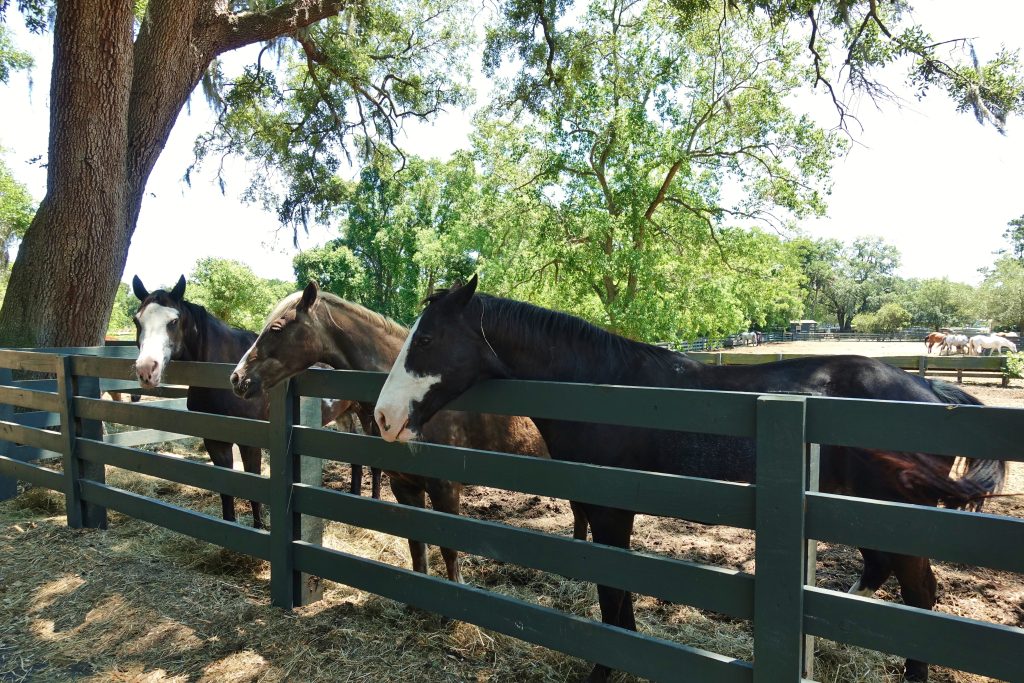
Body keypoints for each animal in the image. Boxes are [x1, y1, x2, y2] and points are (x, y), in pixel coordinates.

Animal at [131, 274, 380, 528]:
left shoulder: (250, 444)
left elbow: (254, 489)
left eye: (173, 321)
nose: (146, 370)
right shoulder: (215, 442)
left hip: (367, 415)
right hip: (344, 414)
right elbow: (225, 490)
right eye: (137, 320)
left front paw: (259, 527)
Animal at [229, 282, 589, 581]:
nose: (238, 378)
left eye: (276, 328)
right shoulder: (404, 485)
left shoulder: (445, 488)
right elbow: (417, 546)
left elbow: (449, 549)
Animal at [372, 276, 1003, 683]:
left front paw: (607, 666)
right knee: (877, 576)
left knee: (920, 597)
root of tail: (930, 389)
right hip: (860, 510)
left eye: (426, 339)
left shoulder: (612, 510)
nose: (383, 417)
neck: (608, 388)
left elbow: (614, 590)